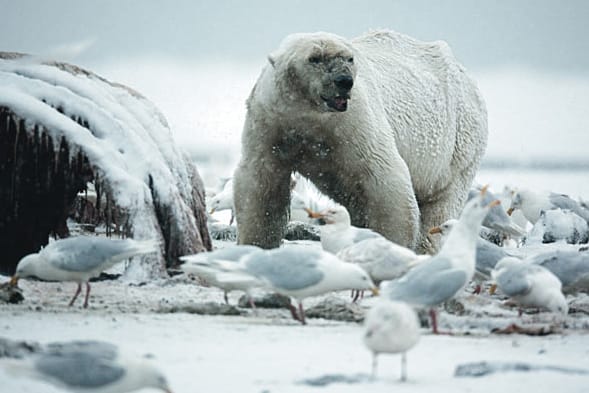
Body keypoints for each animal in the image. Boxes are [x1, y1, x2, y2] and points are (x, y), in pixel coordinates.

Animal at [232, 29, 484, 251]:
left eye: (349, 58)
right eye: (314, 58)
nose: (343, 81)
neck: (310, 118)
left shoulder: (355, 124)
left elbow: (386, 180)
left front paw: (391, 244)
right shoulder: (271, 125)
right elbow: (262, 188)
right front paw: (255, 245)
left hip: (456, 146)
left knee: (439, 207)